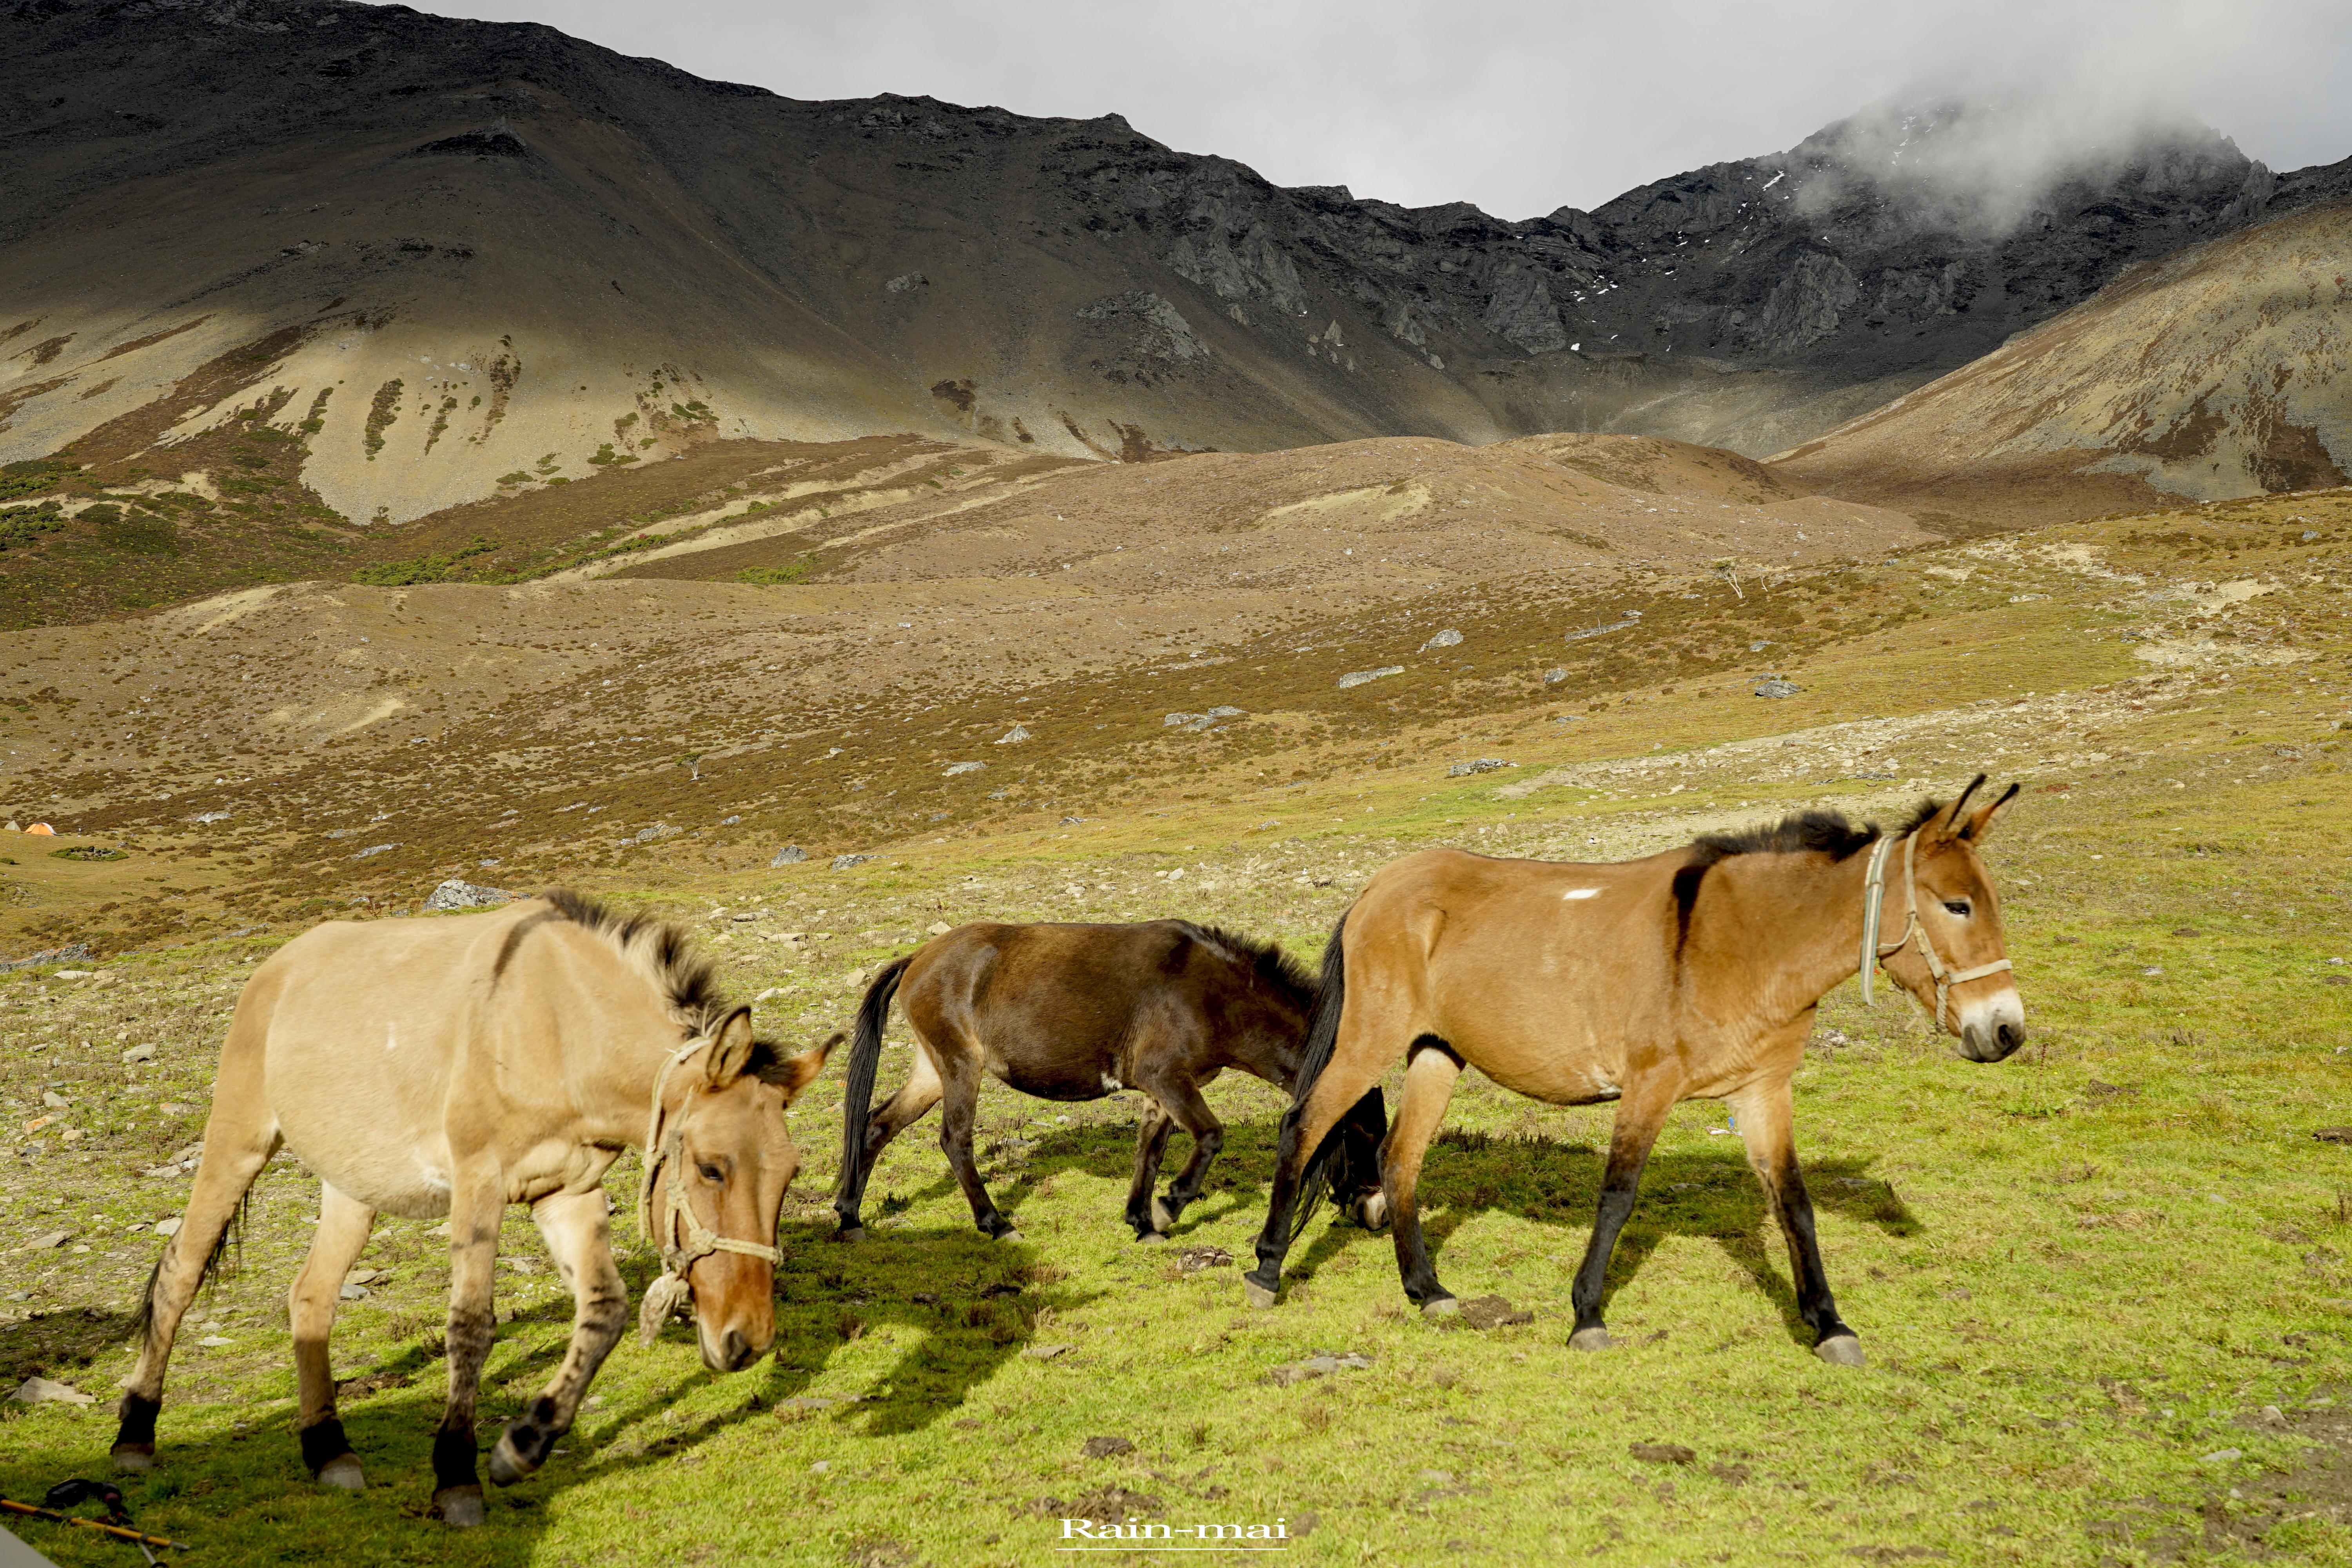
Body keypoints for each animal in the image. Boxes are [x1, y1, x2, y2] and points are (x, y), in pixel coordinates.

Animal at [117, 893, 847, 1533]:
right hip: (239, 1141)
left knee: (311, 1297)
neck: (560, 1027)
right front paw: (456, 1477)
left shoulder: (568, 1192)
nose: (748, 1342)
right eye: (712, 1168)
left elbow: (604, 1311)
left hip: (352, 1186)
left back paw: (328, 1448)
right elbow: (471, 1326)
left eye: (790, 1176)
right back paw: (135, 1431)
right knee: (181, 1271)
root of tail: (281, 964)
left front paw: (523, 1445)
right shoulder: (480, 1185)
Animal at [837, 921, 1383, 1241]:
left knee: (877, 1126)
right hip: (959, 1067)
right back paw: (995, 1223)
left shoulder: (1163, 1091)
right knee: (955, 1139)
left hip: (932, 1071)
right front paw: (1169, 1207)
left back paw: (850, 1216)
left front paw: (1142, 1221)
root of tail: (918, 957)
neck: (1212, 992)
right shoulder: (1165, 1076)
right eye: (1364, 1133)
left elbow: (1150, 1151)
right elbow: (1210, 1136)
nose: (1377, 1211)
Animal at [1242, 780, 2032, 1363]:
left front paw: (1829, 1324)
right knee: (1304, 1127)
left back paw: (1428, 1290)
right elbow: (1618, 1197)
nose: (2006, 1031)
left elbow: (1795, 1205)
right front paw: (1587, 1315)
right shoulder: (1650, 1087)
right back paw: (1267, 1270)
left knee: (1400, 1159)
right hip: (1369, 1041)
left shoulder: (1763, 1093)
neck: (1737, 941)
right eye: (1956, 905)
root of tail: (1377, 889)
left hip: (1436, 1052)